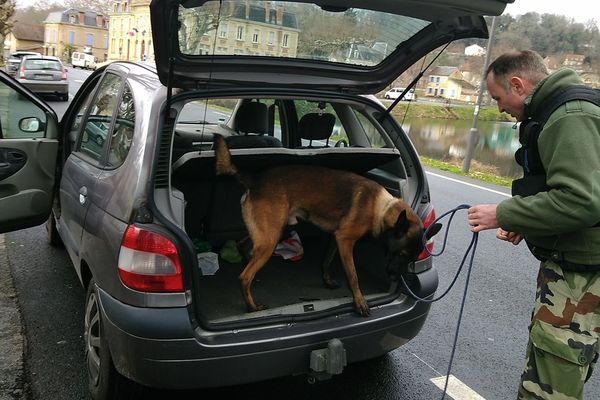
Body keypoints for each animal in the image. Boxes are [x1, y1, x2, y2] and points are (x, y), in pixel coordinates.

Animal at [212, 134, 440, 316]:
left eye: (412, 258)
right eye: (401, 254)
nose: (395, 277)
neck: (381, 207)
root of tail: (255, 179)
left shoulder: (335, 237)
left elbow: (327, 260)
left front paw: (327, 281)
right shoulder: (345, 240)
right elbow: (353, 276)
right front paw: (359, 301)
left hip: (269, 232)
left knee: (243, 246)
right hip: (270, 238)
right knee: (244, 276)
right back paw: (251, 306)